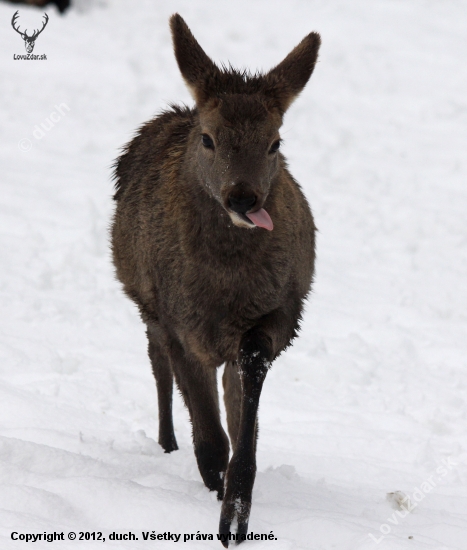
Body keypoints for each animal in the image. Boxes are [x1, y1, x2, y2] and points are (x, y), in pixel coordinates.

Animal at [111, 14, 322, 548]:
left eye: (275, 142)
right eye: (209, 139)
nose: (244, 198)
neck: (224, 290)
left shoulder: (282, 312)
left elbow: (245, 401)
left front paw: (237, 511)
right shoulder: (178, 321)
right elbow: (208, 436)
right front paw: (218, 499)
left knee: (227, 390)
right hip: (146, 303)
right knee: (158, 366)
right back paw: (167, 444)